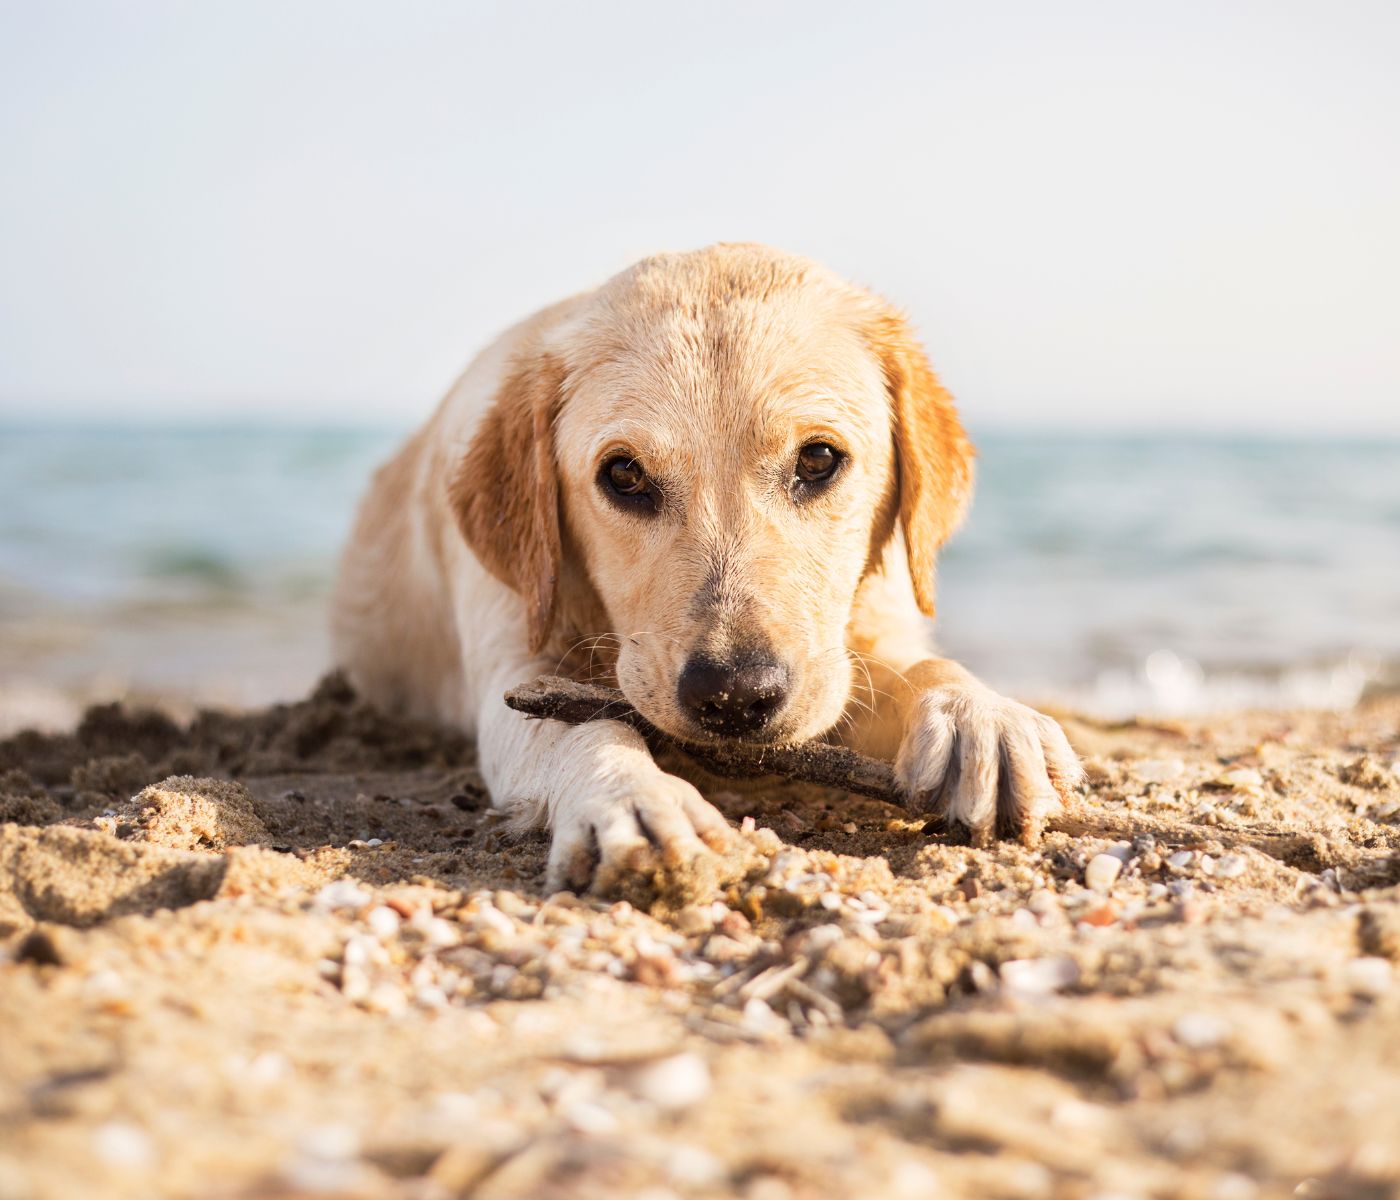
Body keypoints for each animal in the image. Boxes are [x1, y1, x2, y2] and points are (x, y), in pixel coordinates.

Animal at [330, 240, 1080, 890]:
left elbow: (922, 666)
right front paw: (631, 796)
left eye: (818, 459)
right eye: (624, 475)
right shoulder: (512, 668)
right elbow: (582, 728)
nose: (735, 696)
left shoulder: (871, 630)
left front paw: (981, 717)